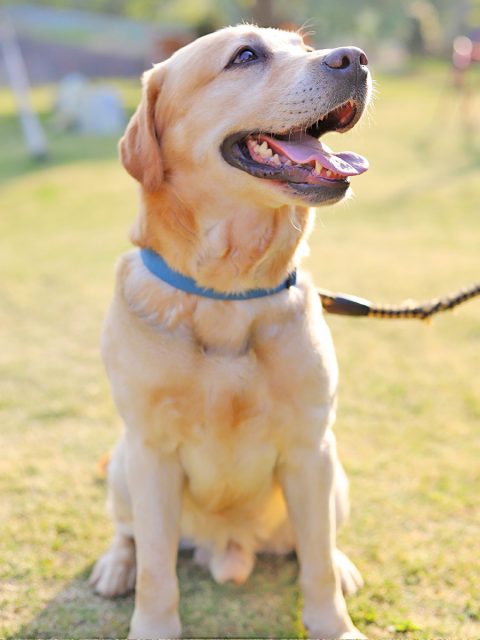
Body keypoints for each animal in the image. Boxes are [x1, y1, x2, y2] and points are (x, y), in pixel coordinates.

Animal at [90, 25, 372, 640]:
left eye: (303, 46)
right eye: (245, 56)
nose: (357, 58)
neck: (228, 290)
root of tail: (228, 547)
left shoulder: (310, 450)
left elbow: (316, 562)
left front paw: (332, 623)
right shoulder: (150, 453)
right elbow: (156, 568)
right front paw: (153, 623)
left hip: (335, 473)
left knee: (318, 545)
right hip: (122, 465)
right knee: (128, 535)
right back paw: (116, 565)